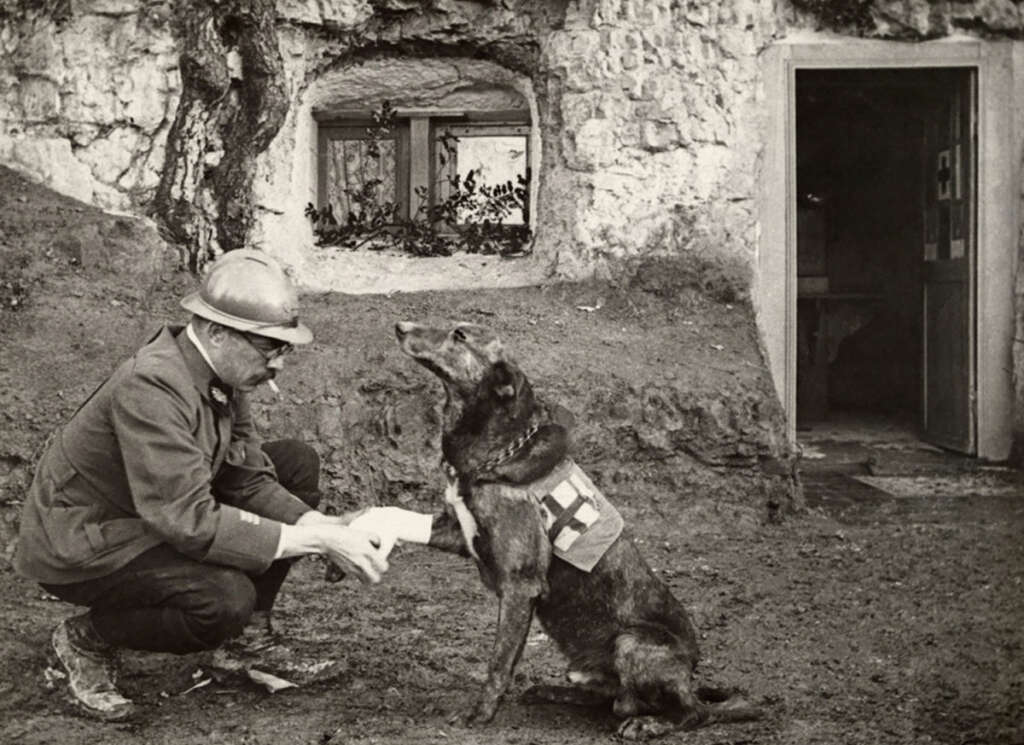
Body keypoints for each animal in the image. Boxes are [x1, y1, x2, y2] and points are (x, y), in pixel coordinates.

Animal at [391, 319, 761, 740]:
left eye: (460, 336)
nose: (400, 325)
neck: (495, 450)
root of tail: (691, 673)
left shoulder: (520, 585)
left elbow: (499, 663)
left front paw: (479, 714)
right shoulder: (460, 533)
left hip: (632, 643)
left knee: (693, 712)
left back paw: (649, 723)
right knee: (610, 698)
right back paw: (556, 692)